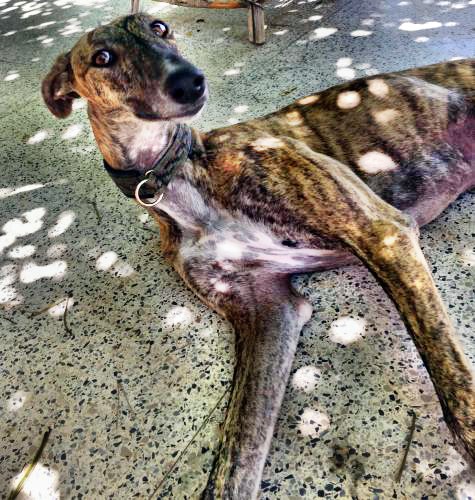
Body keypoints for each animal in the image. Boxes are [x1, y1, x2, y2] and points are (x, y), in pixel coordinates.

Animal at [42, 13, 474, 499]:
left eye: (160, 27)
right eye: (103, 57)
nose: (190, 81)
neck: (179, 178)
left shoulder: (381, 232)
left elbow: (455, 389)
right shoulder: (269, 314)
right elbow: (233, 461)